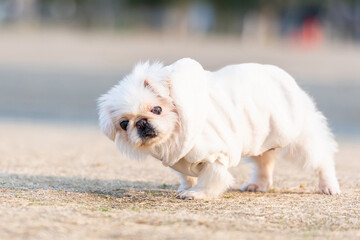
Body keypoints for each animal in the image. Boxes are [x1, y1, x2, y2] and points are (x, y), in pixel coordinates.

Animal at [97, 57, 340, 199]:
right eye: (124, 124)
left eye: (156, 109)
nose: (141, 122)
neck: (173, 136)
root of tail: (283, 77)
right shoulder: (180, 157)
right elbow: (186, 176)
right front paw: (186, 187)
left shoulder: (215, 154)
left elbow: (211, 177)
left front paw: (196, 194)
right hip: (260, 138)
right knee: (265, 163)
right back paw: (258, 185)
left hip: (297, 137)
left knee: (321, 160)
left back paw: (329, 186)